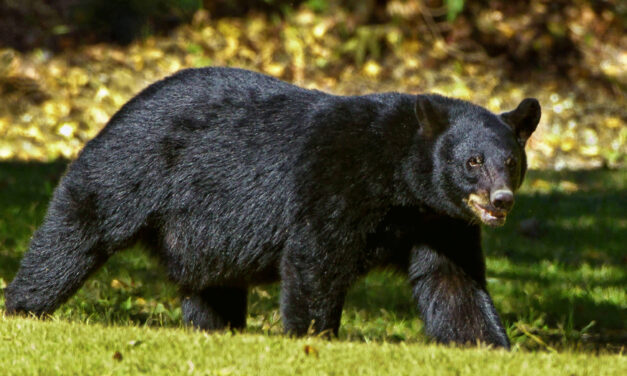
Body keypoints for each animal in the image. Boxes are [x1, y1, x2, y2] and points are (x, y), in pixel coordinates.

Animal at [3, 66, 540, 348]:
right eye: (472, 161)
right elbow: (316, 260)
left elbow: (453, 282)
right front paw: (314, 339)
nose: (501, 200)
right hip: (130, 168)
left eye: (511, 162)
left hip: (202, 235)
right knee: (76, 232)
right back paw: (23, 307)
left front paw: (489, 345)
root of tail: (121, 107)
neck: (399, 180)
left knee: (211, 286)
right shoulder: (336, 183)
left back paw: (216, 330)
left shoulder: (439, 221)